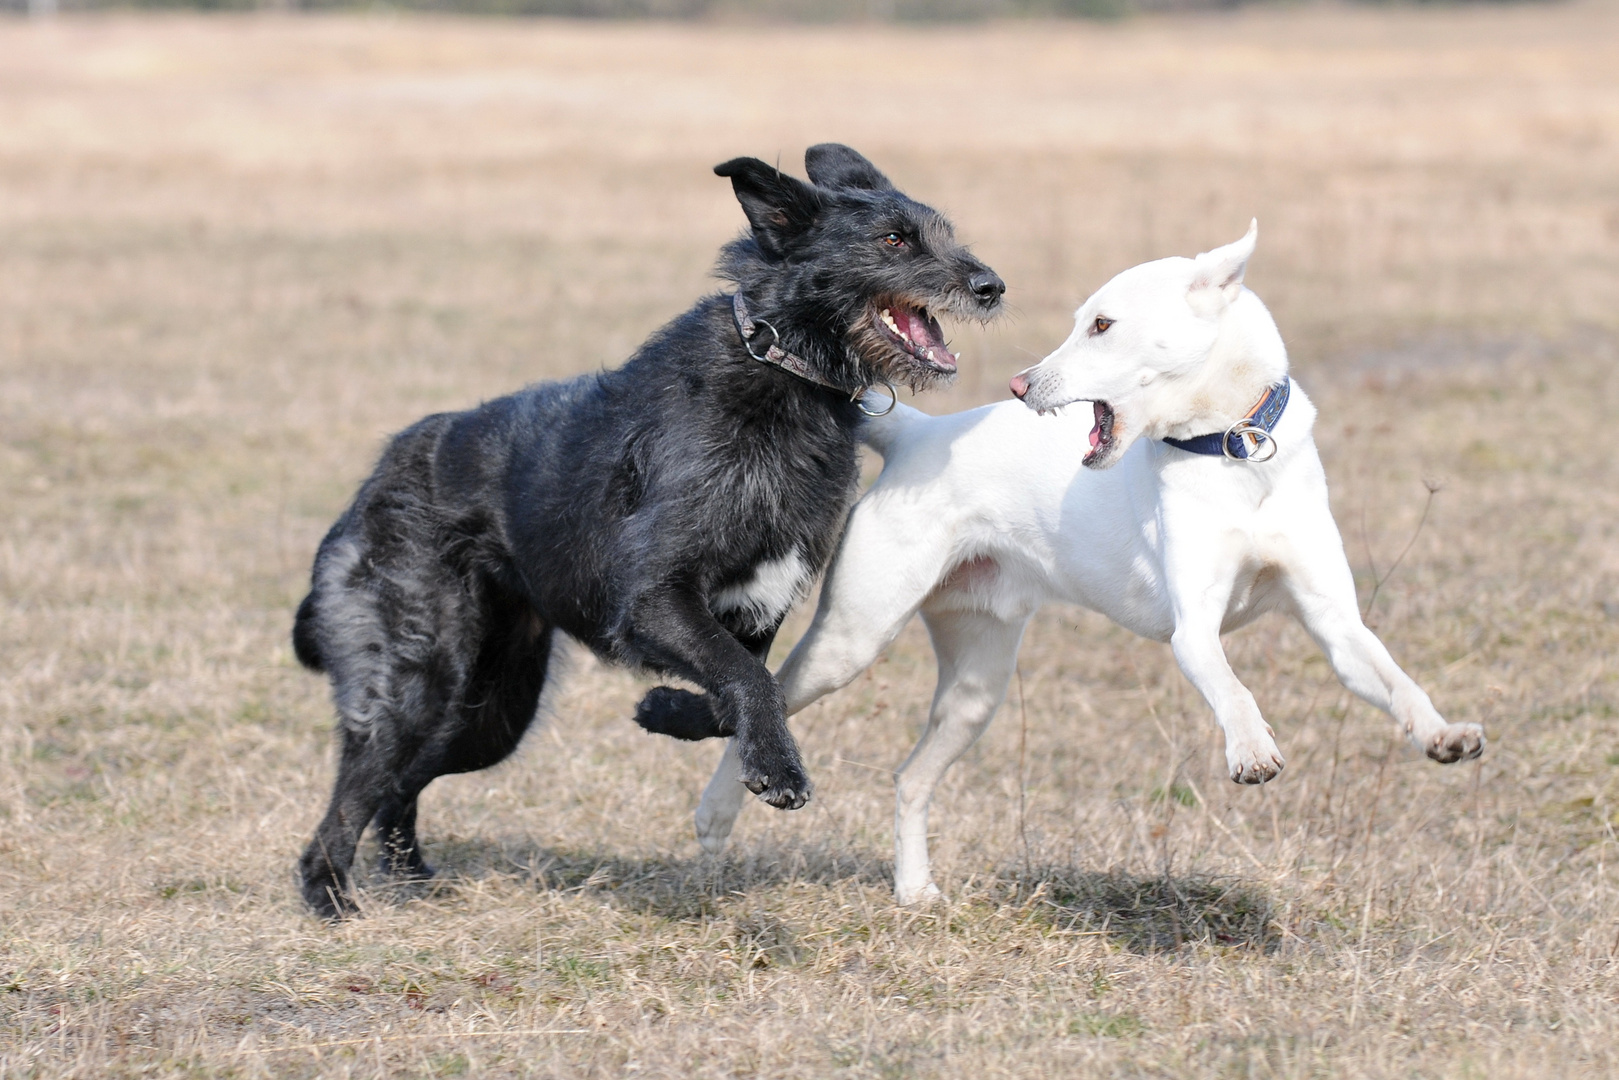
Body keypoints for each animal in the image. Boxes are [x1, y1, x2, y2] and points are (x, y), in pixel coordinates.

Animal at [289, 143, 997, 919]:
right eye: (895, 240)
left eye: (943, 233)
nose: (991, 287)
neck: (777, 366)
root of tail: (371, 487)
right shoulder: (653, 600)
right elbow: (749, 680)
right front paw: (777, 769)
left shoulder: (753, 613)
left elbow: (745, 693)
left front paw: (664, 711)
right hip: (419, 683)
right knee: (353, 794)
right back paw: (329, 895)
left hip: (490, 714)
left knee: (401, 784)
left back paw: (408, 873)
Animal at [689, 223, 1483, 906]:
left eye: (1101, 325)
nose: (1020, 384)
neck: (1232, 447)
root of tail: (921, 435)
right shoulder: (1193, 629)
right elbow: (1231, 686)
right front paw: (1252, 749)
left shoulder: (1333, 621)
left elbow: (1395, 681)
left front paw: (1444, 735)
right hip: (853, 638)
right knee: (769, 700)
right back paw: (716, 819)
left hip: (976, 685)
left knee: (911, 779)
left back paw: (914, 891)